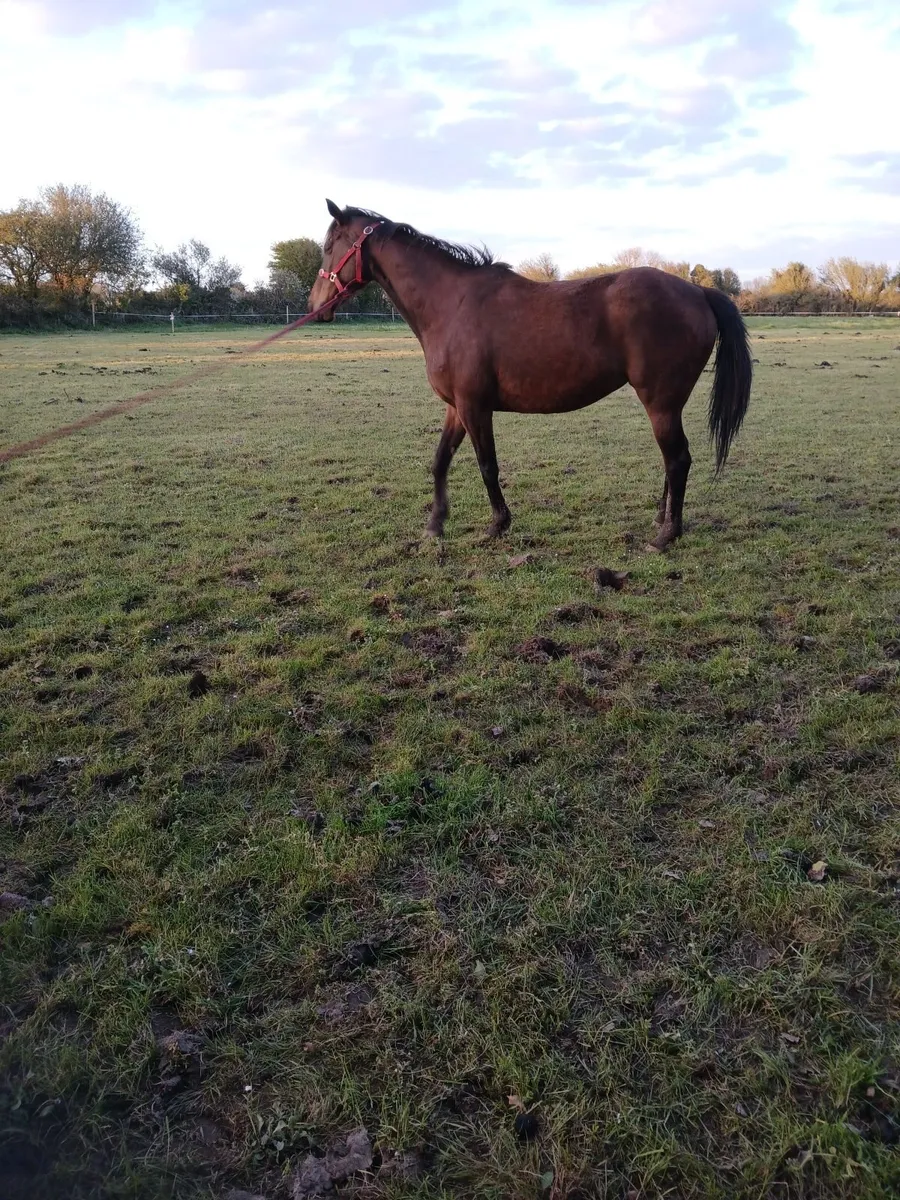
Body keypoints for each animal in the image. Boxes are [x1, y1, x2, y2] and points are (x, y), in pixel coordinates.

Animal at [307, 200, 752, 551]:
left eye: (329, 246)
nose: (314, 305)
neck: (452, 304)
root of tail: (699, 292)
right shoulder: (457, 407)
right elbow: (440, 461)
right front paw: (435, 525)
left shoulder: (475, 407)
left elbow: (487, 466)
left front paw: (497, 524)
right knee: (671, 460)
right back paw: (662, 520)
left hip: (660, 402)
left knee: (678, 459)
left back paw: (666, 536)